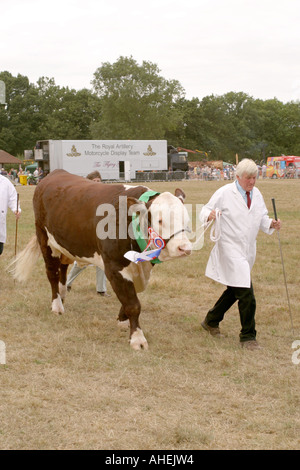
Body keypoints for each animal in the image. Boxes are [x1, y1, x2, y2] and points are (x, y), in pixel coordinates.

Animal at [11, 169, 192, 348]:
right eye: (160, 220)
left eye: (187, 219)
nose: (184, 248)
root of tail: (54, 173)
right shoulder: (114, 266)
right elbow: (133, 304)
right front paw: (137, 339)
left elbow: (130, 298)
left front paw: (122, 321)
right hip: (45, 239)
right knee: (52, 274)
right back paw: (57, 306)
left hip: (65, 244)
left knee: (62, 269)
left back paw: (62, 296)